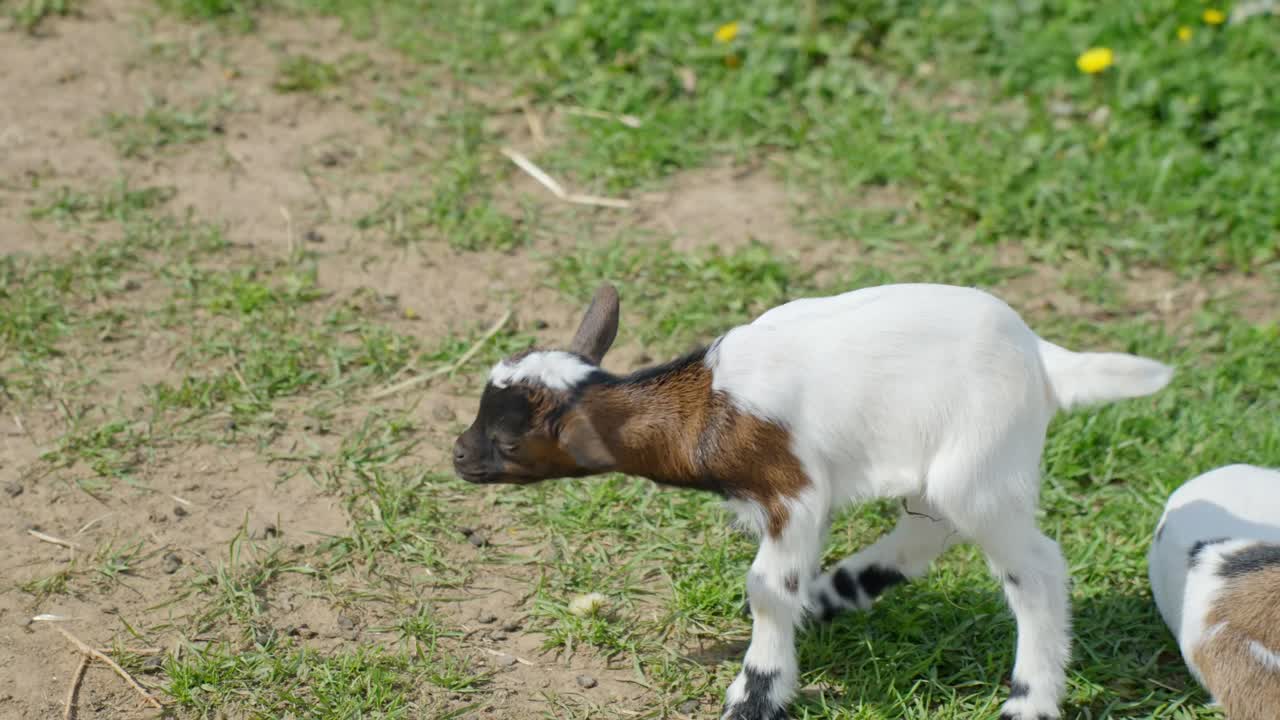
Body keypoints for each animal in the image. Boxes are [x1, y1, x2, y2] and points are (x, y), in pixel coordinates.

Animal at [453, 282, 1174, 720]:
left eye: (508, 441)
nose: (458, 456)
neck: (701, 411)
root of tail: (1044, 359)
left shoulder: (793, 490)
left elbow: (767, 588)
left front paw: (755, 696)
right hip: (956, 466)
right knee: (930, 528)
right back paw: (837, 593)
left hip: (983, 459)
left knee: (1036, 569)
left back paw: (1030, 698)